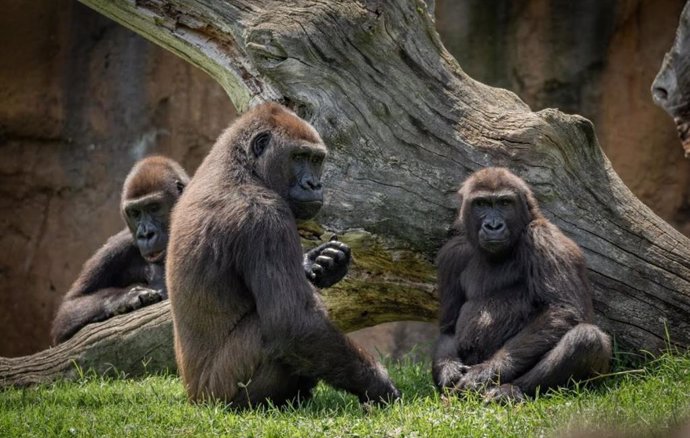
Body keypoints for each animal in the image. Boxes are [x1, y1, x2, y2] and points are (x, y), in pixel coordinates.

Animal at [166, 102, 398, 408]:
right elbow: (292, 322)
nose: (314, 184)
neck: (243, 166)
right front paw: (376, 383)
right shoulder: (264, 215)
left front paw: (321, 263)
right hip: (218, 396)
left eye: (316, 160)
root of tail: (193, 396)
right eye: (298, 157)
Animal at [432, 166, 612, 402]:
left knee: (587, 340)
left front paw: (484, 373)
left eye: (504, 203)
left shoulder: (543, 237)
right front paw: (448, 369)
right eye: (481, 204)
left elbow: (562, 310)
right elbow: (448, 327)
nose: (493, 225)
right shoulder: (452, 255)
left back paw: (511, 390)